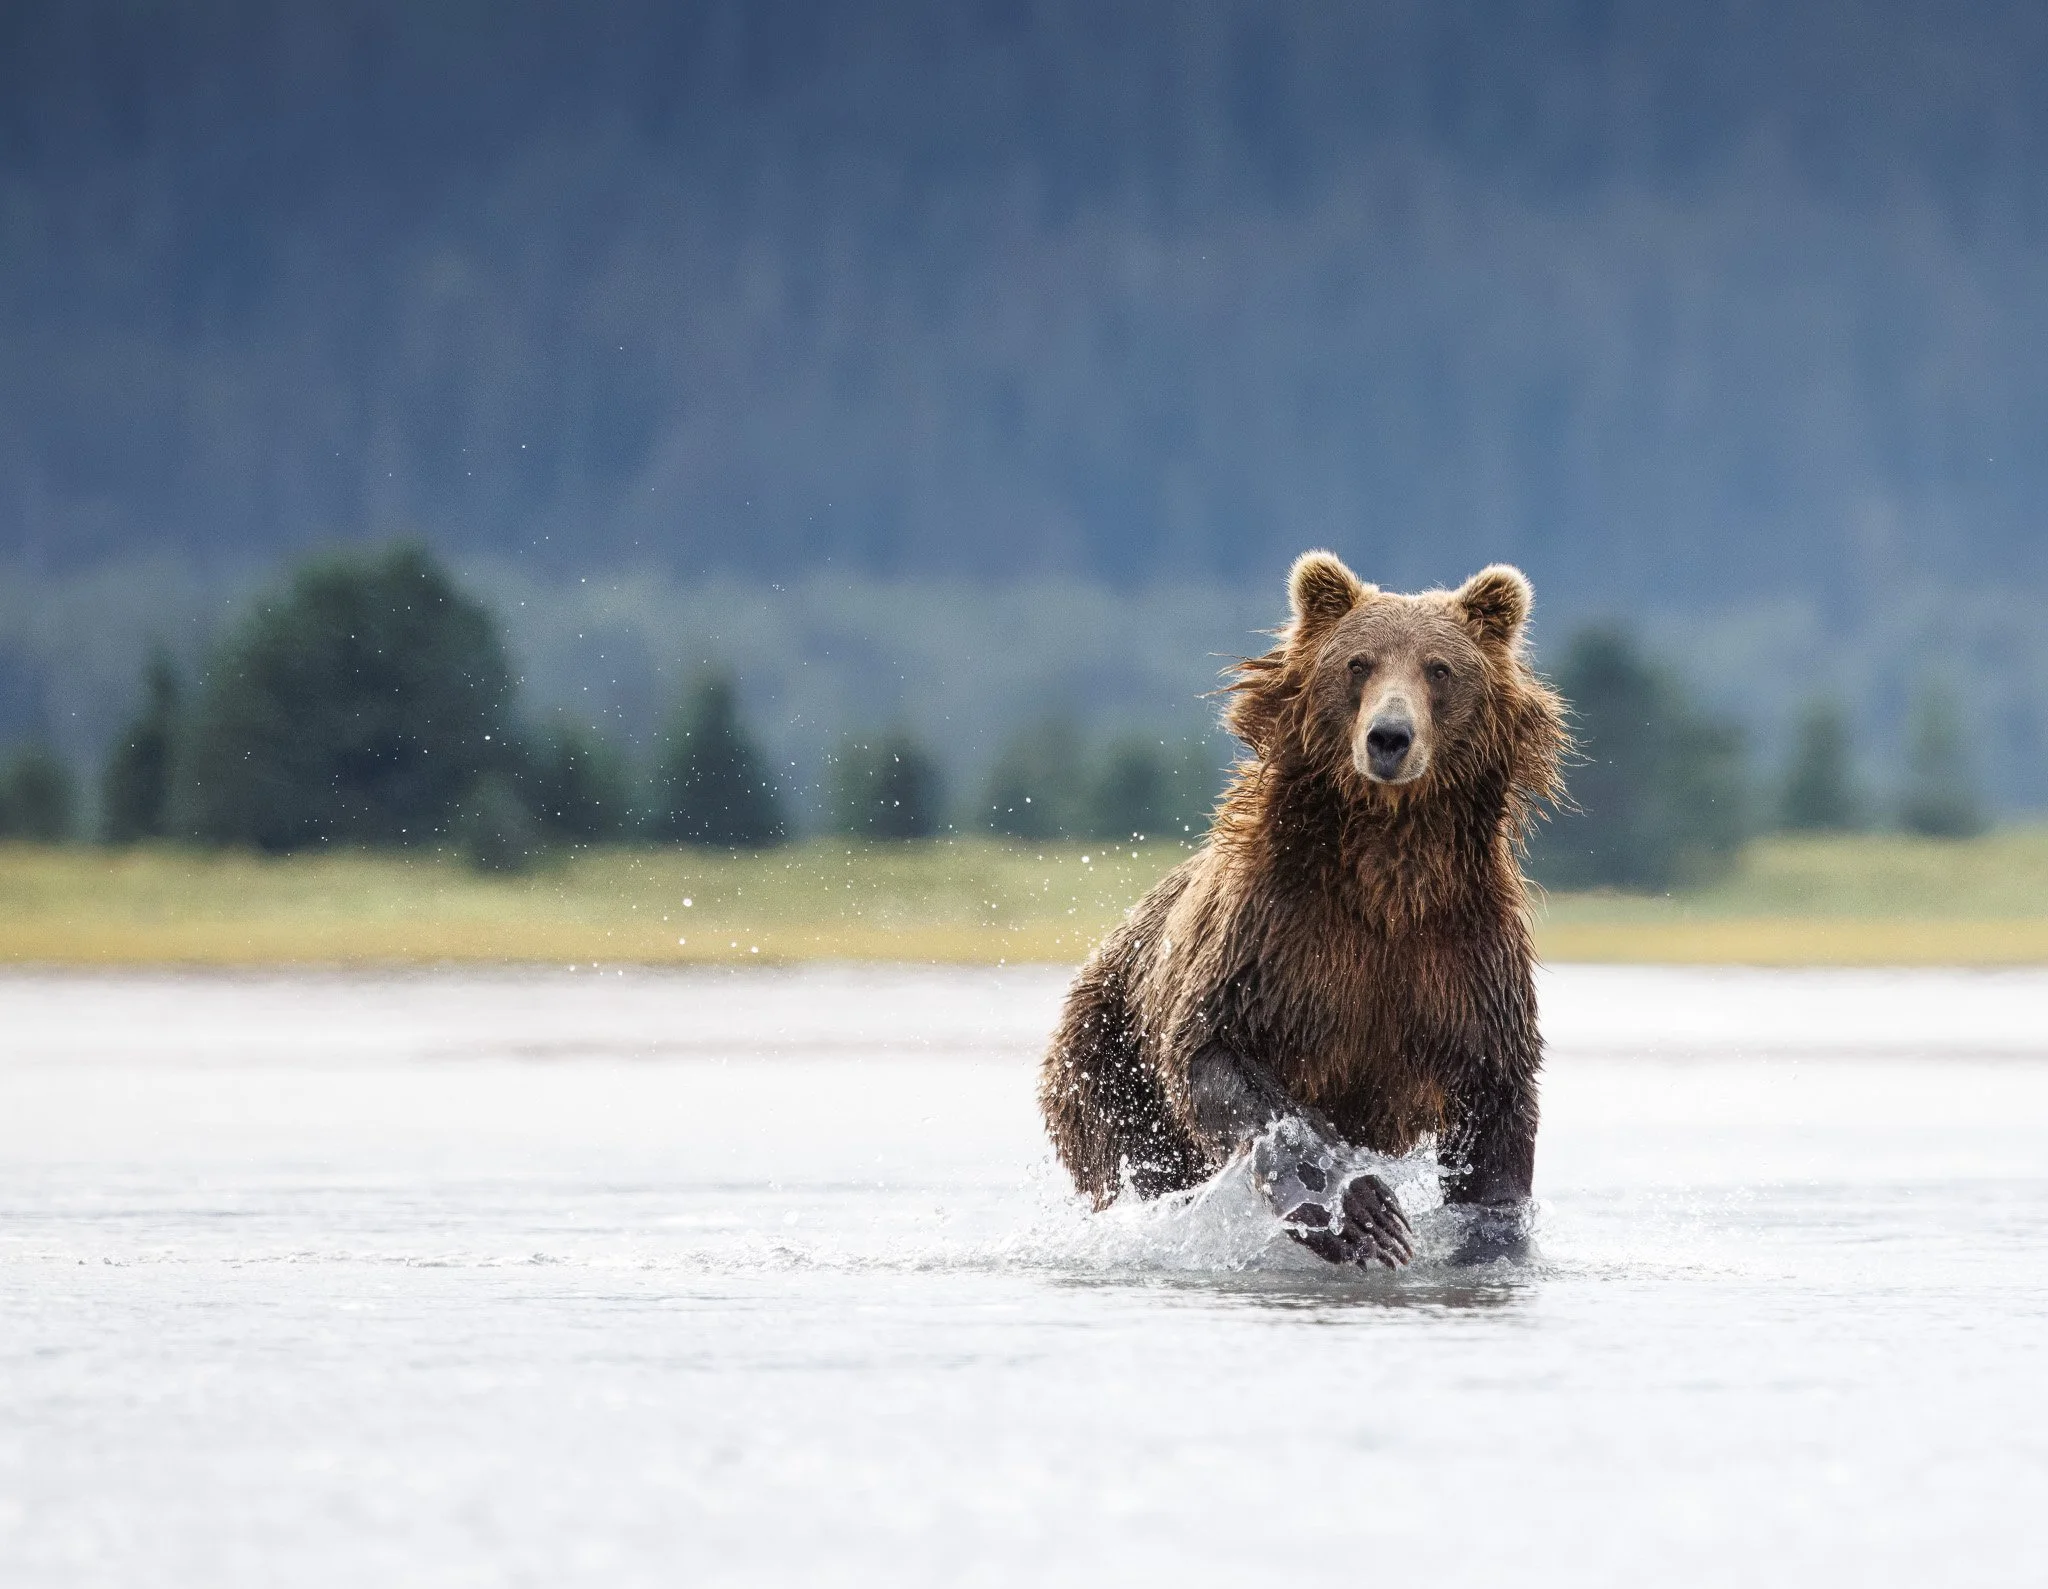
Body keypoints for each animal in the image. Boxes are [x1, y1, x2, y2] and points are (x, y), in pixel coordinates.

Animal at [1038, 552, 1567, 1268]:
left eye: (1439, 668)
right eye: (1358, 663)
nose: (1389, 737)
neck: (1387, 874)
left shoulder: (1464, 961)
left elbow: (1496, 1118)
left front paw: (1488, 1238)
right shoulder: (1270, 941)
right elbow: (1224, 1064)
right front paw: (1358, 1213)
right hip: (1107, 1057)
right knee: (1136, 1158)